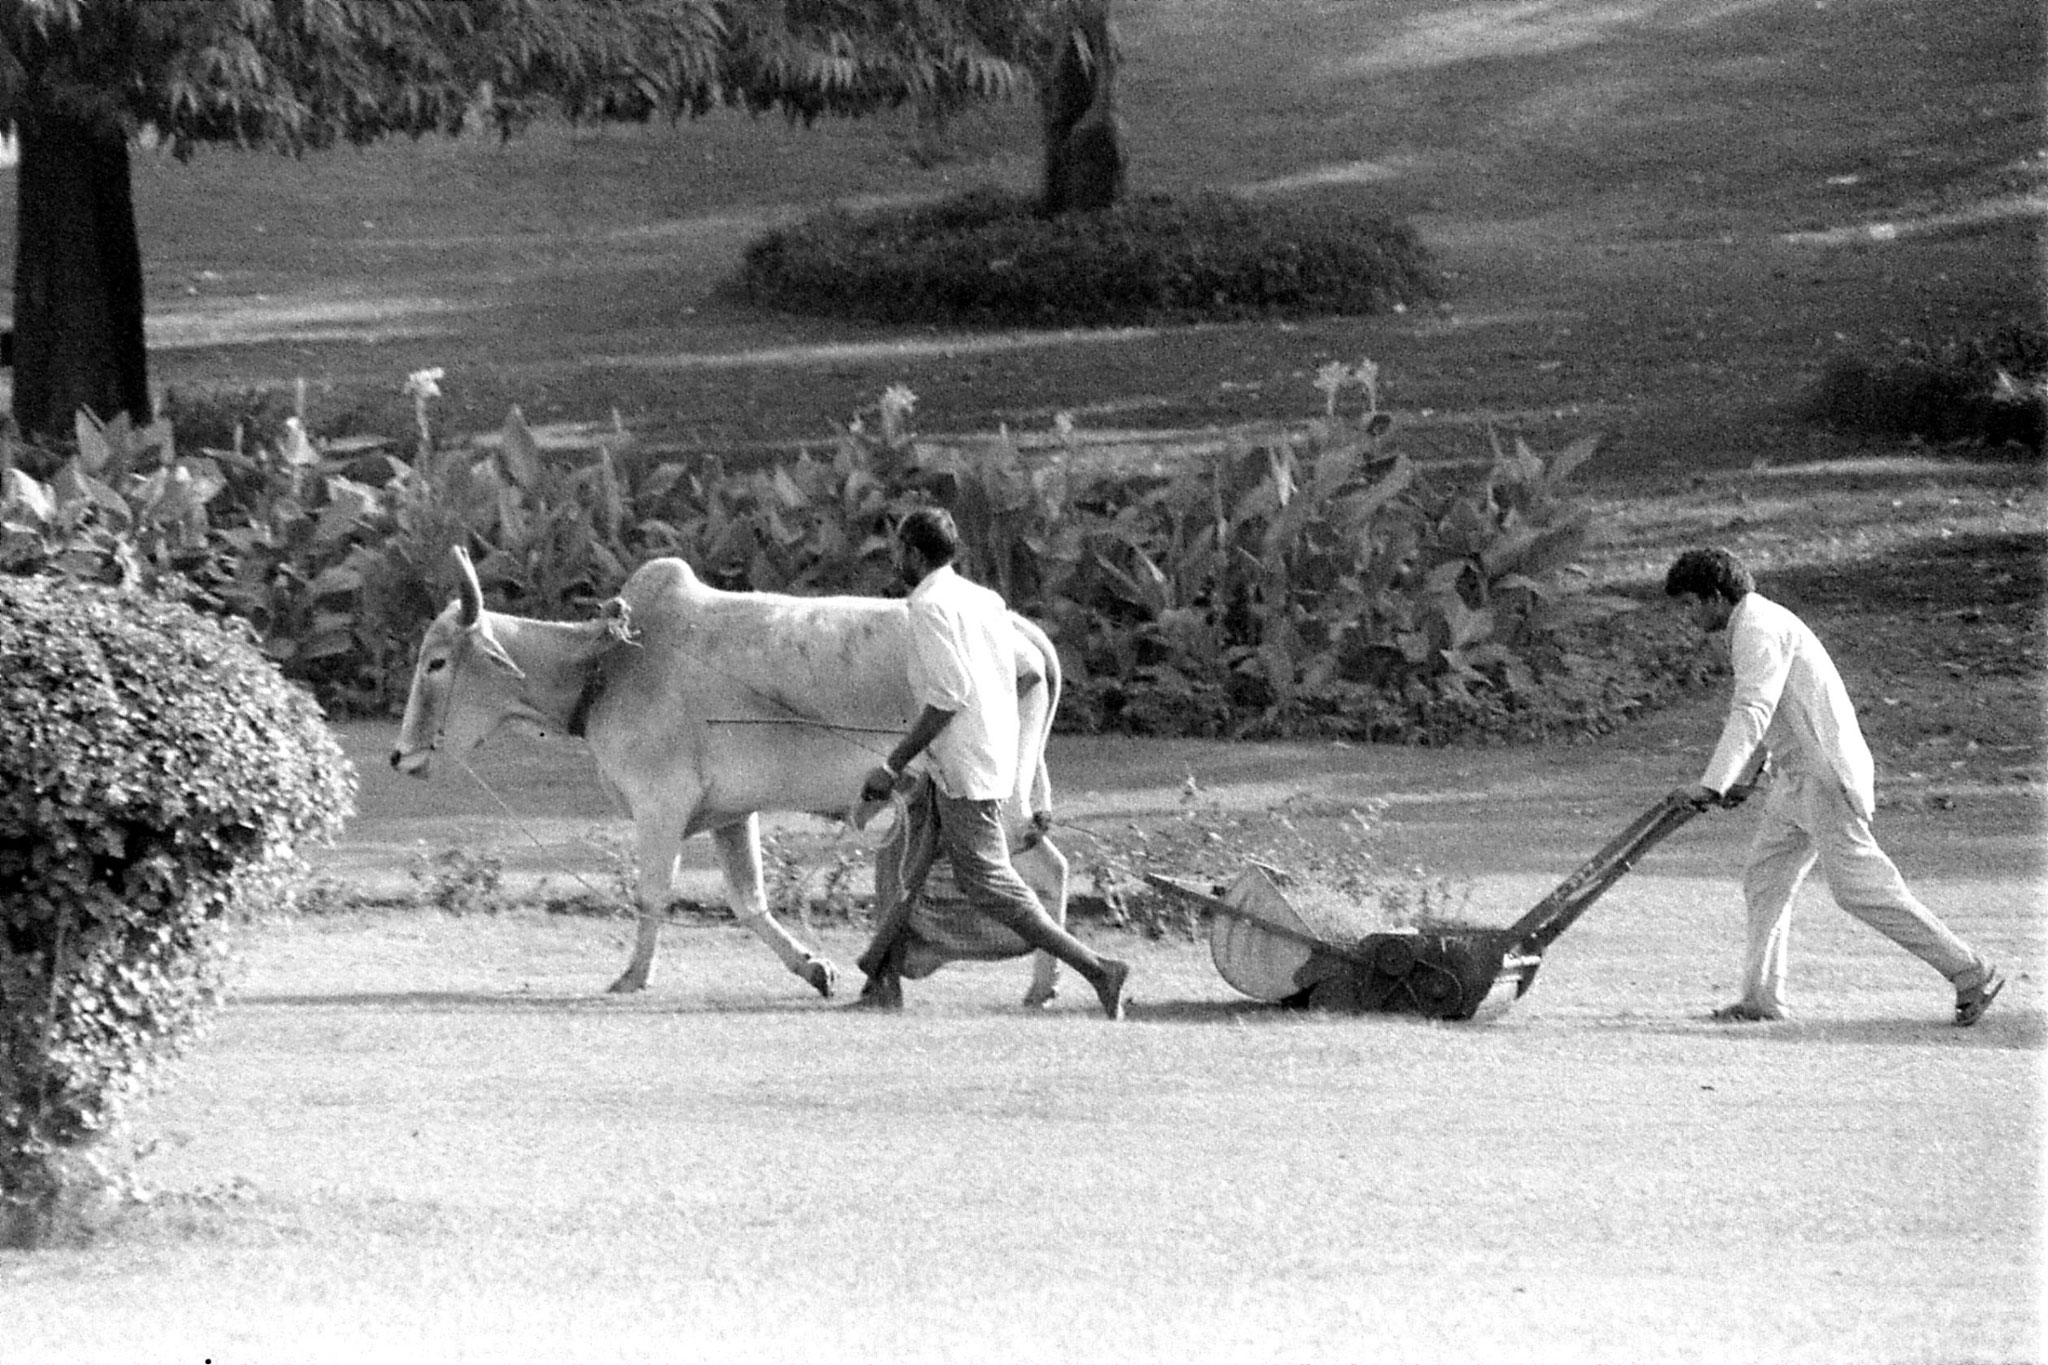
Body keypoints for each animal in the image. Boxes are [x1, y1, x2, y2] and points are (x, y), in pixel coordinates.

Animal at [389, 544, 1081, 1002]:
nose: (399, 757)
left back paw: (1045, 986)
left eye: (436, 662)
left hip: (996, 800)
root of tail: (1021, 630)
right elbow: (749, 902)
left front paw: (631, 976)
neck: (608, 665)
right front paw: (815, 968)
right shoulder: (730, 813)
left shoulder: (660, 804)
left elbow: (651, 894)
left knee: (1047, 871)